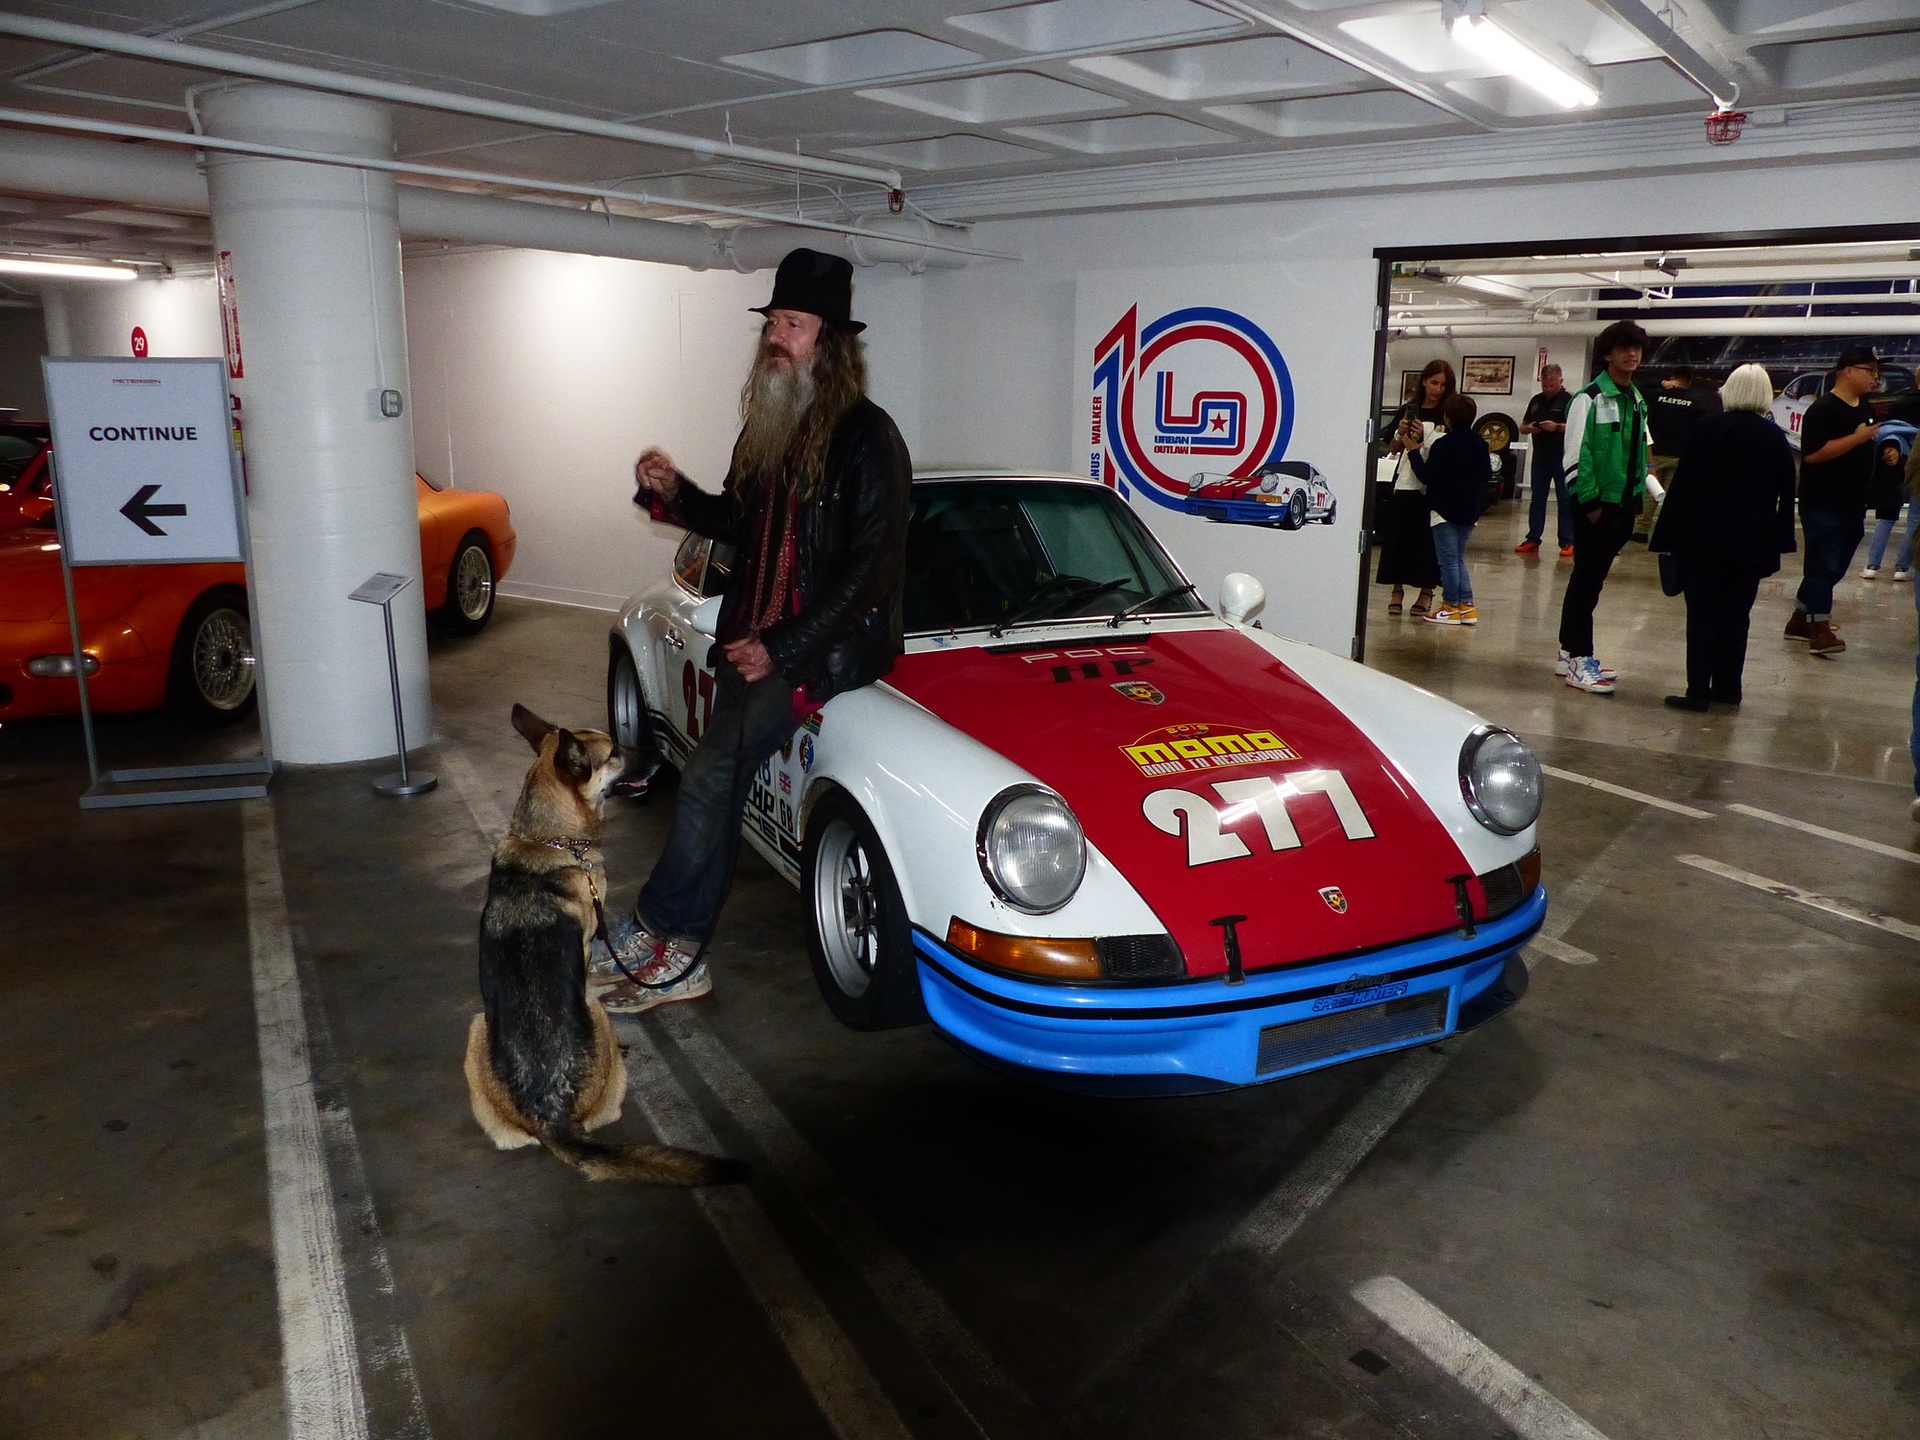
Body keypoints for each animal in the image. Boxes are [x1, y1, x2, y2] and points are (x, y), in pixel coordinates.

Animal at [466, 706, 748, 1190]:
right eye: (615, 752)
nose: (660, 754)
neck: (547, 838)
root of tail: (551, 1115)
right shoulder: (583, 943)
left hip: (476, 1031)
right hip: (567, 1017)